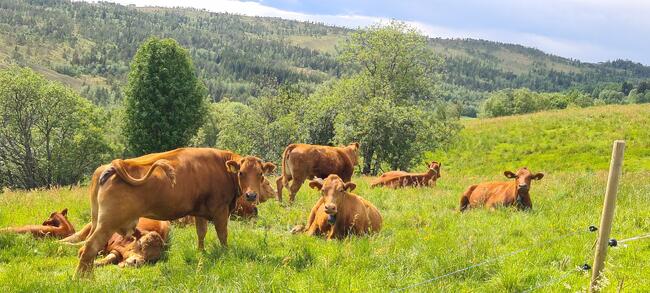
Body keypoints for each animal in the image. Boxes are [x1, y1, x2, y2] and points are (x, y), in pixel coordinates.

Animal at [74, 147, 274, 278]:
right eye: (241, 173)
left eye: (260, 174)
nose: (251, 195)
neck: (221, 167)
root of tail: (112, 166)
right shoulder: (220, 211)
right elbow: (223, 234)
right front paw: (226, 253)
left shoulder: (200, 212)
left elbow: (201, 233)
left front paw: (201, 252)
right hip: (108, 223)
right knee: (89, 247)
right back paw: (82, 280)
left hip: (96, 220)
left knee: (85, 249)